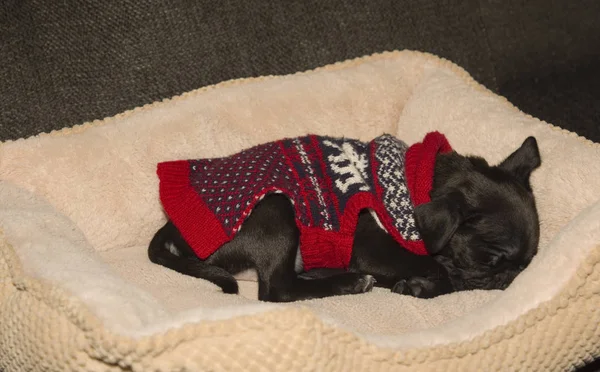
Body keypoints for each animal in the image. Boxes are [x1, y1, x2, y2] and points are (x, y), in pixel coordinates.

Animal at [148, 132, 540, 300]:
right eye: (490, 260)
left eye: (528, 263)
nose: (510, 277)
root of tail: (172, 228)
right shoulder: (372, 251)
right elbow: (441, 269)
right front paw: (424, 285)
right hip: (276, 210)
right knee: (277, 290)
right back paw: (349, 283)